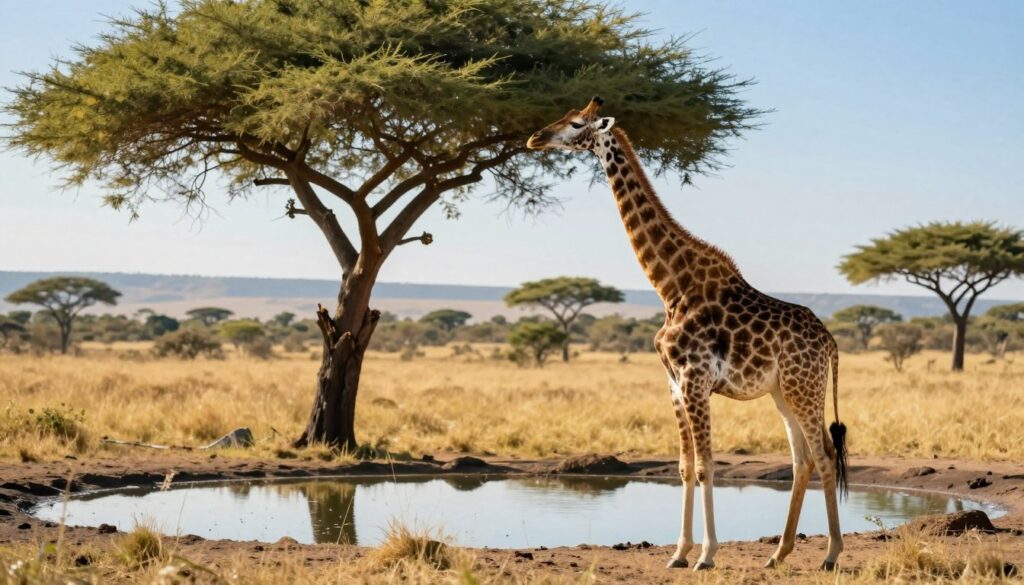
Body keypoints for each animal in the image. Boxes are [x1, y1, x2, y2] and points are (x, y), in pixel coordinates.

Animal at [527, 97, 848, 571]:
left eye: (576, 123)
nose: (535, 138)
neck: (670, 285)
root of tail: (830, 341)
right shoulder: (674, 383)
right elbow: (683, 465)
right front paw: (679, 553)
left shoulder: (695, 379)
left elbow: (707, 466)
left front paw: (707, 555)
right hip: (783, 391)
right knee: (803, 459)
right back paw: (778, 554)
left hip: (803, 388)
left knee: (824, 456)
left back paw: (829, 555)